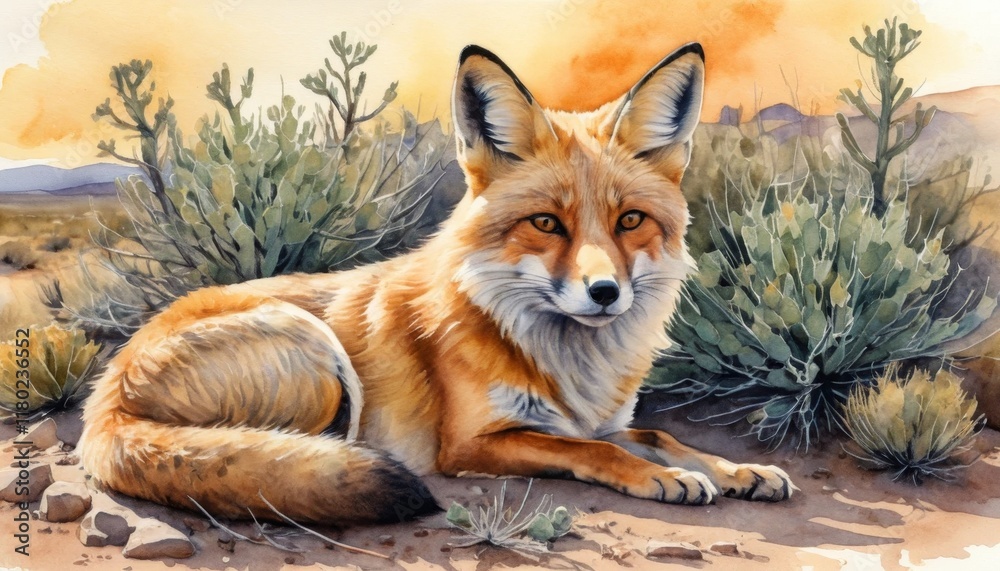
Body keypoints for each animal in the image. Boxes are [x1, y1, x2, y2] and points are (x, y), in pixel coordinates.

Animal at [79, 42, 794, 525]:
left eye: (630, 221)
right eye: (546, 223)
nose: (604, 293)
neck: (563, 361)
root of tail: (105, 401)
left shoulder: (597, 418)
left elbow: (661, 438)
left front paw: (738, 469)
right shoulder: (474, 441)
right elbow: (594, 452)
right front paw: (658, 478)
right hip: (317, 351)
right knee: (283, 453)